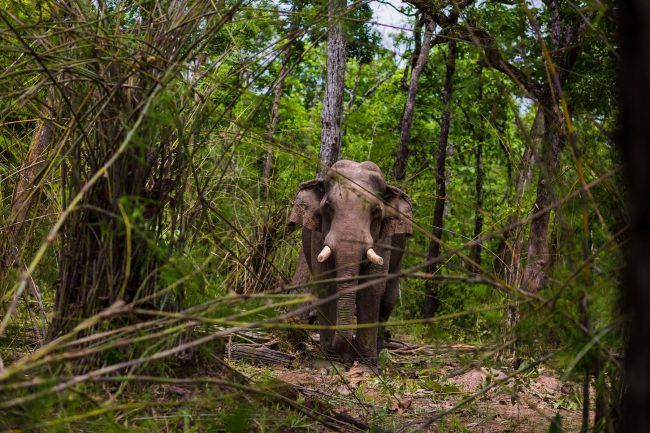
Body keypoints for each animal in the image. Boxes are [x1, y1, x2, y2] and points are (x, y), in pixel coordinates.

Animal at [288, 159, 410, 364]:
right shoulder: (318, 238)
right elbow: (327, 285)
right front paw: (330, 363)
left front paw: (367, 365)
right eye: (328, 206)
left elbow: (371, 288)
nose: (346, 355)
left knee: (388, 299)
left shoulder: (383, 241)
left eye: (376, 211)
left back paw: (379, 349)